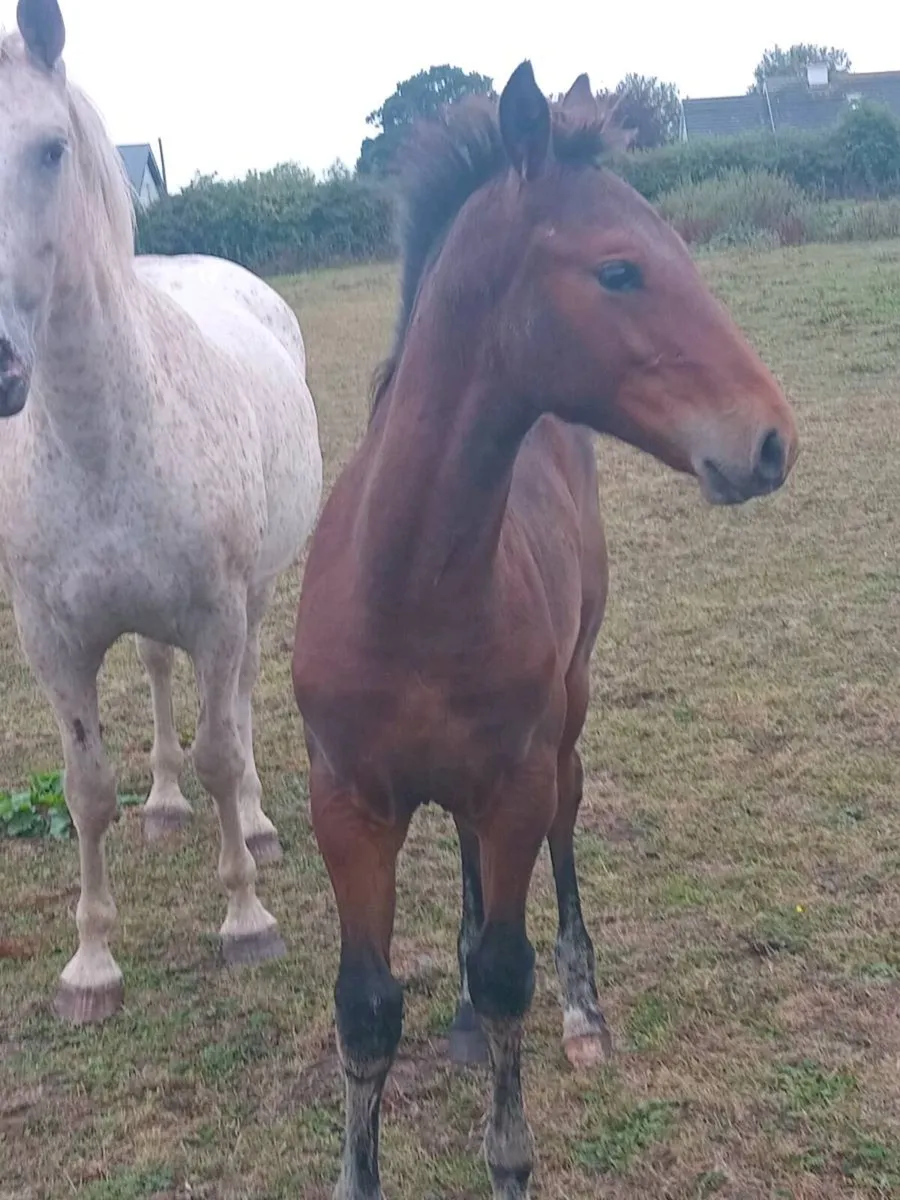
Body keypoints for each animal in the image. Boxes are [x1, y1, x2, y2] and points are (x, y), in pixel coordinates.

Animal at [0, 0, 322, 1024]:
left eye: (51, 148)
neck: (101, 433)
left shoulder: (218, 611)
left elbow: (222, 747)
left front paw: (246, 919)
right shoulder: (53, 643)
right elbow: (85, 788)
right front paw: (91, 963)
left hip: (254, 597)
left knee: (242, 701)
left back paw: (252, 824)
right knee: (154, 674)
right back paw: (168, 806)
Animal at [291, 61, 798, 1200]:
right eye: (618, 271)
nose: (772, 440)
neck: (410, 581)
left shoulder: (514, 779)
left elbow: (508, 971)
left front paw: (512, 1153)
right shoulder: (345, 798)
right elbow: (366, 1009)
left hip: (566, 714)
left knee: (562, 833)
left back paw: (583, 1009)